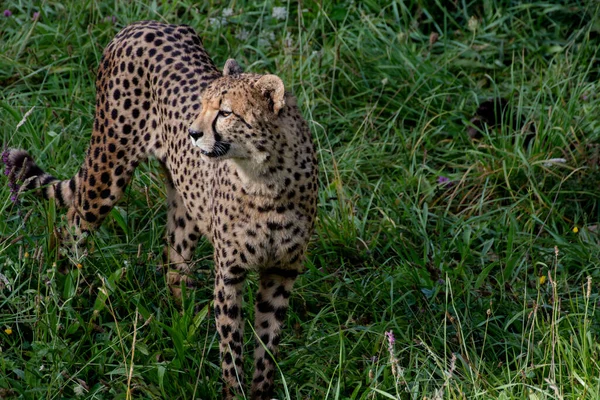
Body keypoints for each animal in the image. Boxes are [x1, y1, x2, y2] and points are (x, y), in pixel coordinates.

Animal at [3, 21, 318, 400]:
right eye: (202, 105)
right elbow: (232, 345)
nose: (192, 132)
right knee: (73, 223)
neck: (265, 178)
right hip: (109, 170)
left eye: (226, 112)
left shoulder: (282, 270)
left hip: (183, 201)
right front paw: (234, 390)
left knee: (173, 262)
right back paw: (64, 296)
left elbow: (267, 344)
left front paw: (261, 390)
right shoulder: (231, 271)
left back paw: (183, 323)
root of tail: (141, 24)